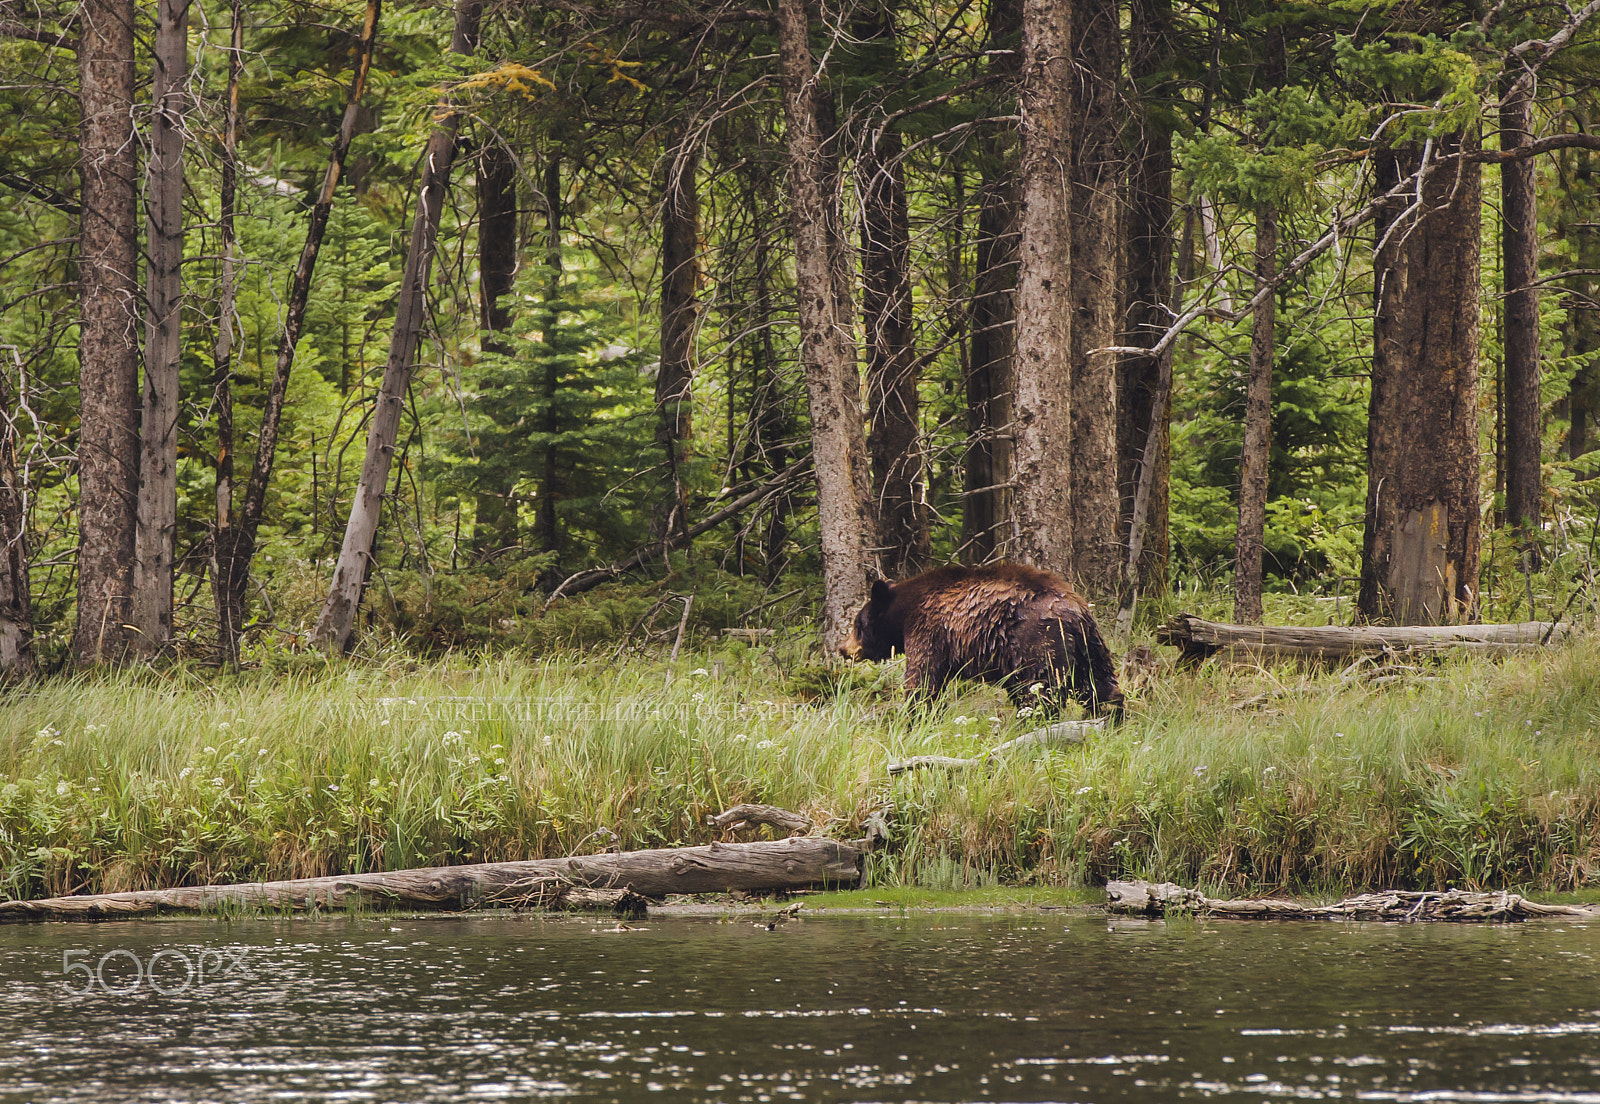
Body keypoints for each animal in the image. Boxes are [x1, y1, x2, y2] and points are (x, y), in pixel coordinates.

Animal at [839, 563, 1123, 716]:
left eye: (856, 625)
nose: (843, 649)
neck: (903, 613)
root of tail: (1074, 611)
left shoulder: (928, 630)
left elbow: (923, 679)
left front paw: (914, 715)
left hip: (1039, 639)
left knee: (1041, 688)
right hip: (1091, 645)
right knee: (1099, 684)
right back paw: (1111, 716)